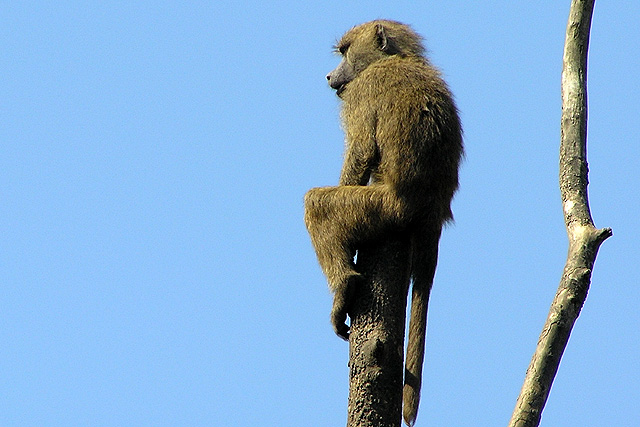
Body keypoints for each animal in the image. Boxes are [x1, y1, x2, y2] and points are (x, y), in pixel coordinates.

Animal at [302, 20, 462, 427]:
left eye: (345, 52)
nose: (329, 76)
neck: (395, 59)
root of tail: (433, 209)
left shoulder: (363, 92)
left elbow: (360, 151)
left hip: (383, 208)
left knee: (316, 206)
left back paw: (344, 289)